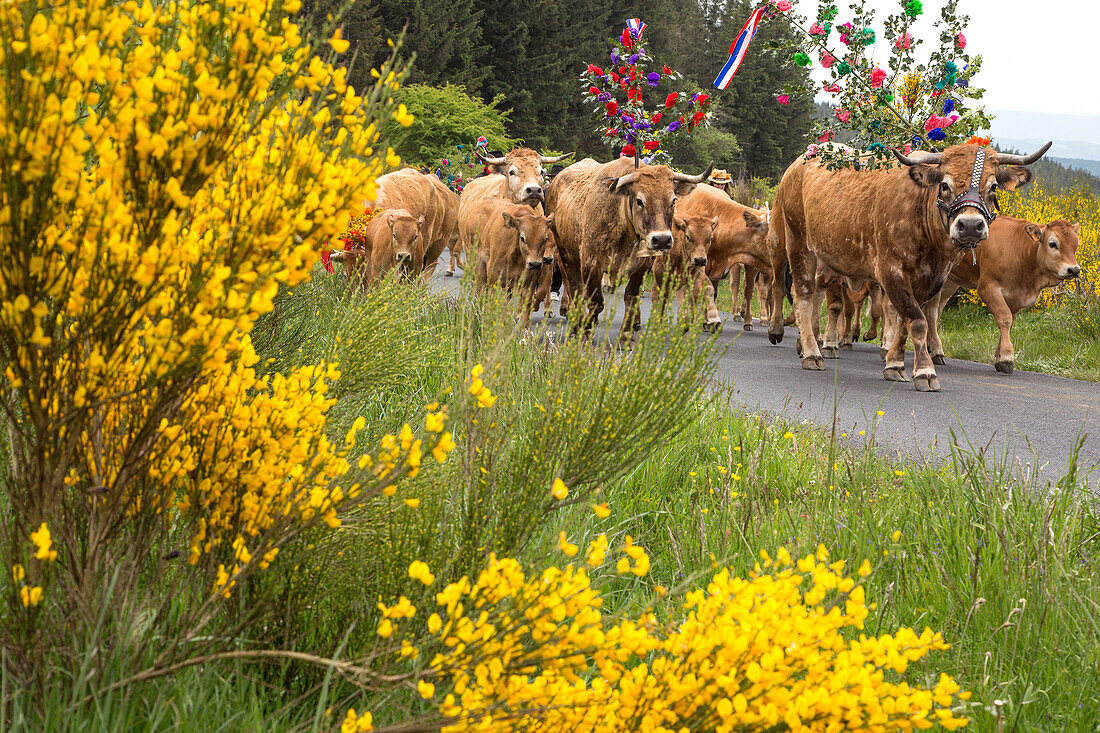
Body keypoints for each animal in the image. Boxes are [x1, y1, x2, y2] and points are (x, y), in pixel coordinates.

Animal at [765, 140, 1047, 387]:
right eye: (944, 185)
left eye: (993, 187)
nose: (969, 225)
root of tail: (803, 160)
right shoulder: (890, 272)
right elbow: (918, 321)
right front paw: (925, 371)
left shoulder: (932, 280)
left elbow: (905, 320)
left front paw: (895, 364)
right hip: (791, 241)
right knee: (796, 291)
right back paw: (805, 348)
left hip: (826, 258)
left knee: (815, 296)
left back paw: (806, 343)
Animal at [928, 212, 1082, 372]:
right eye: (1053, 244)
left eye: (1076, 244)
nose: (1074, 270)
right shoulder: (988, 288)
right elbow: (1004, 318)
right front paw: (1007, 357)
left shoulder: (1015, 296)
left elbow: (1009, 322)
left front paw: (999, 357)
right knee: (932, 311)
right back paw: (937, 351)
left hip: (951, 282)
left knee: (938, 309)